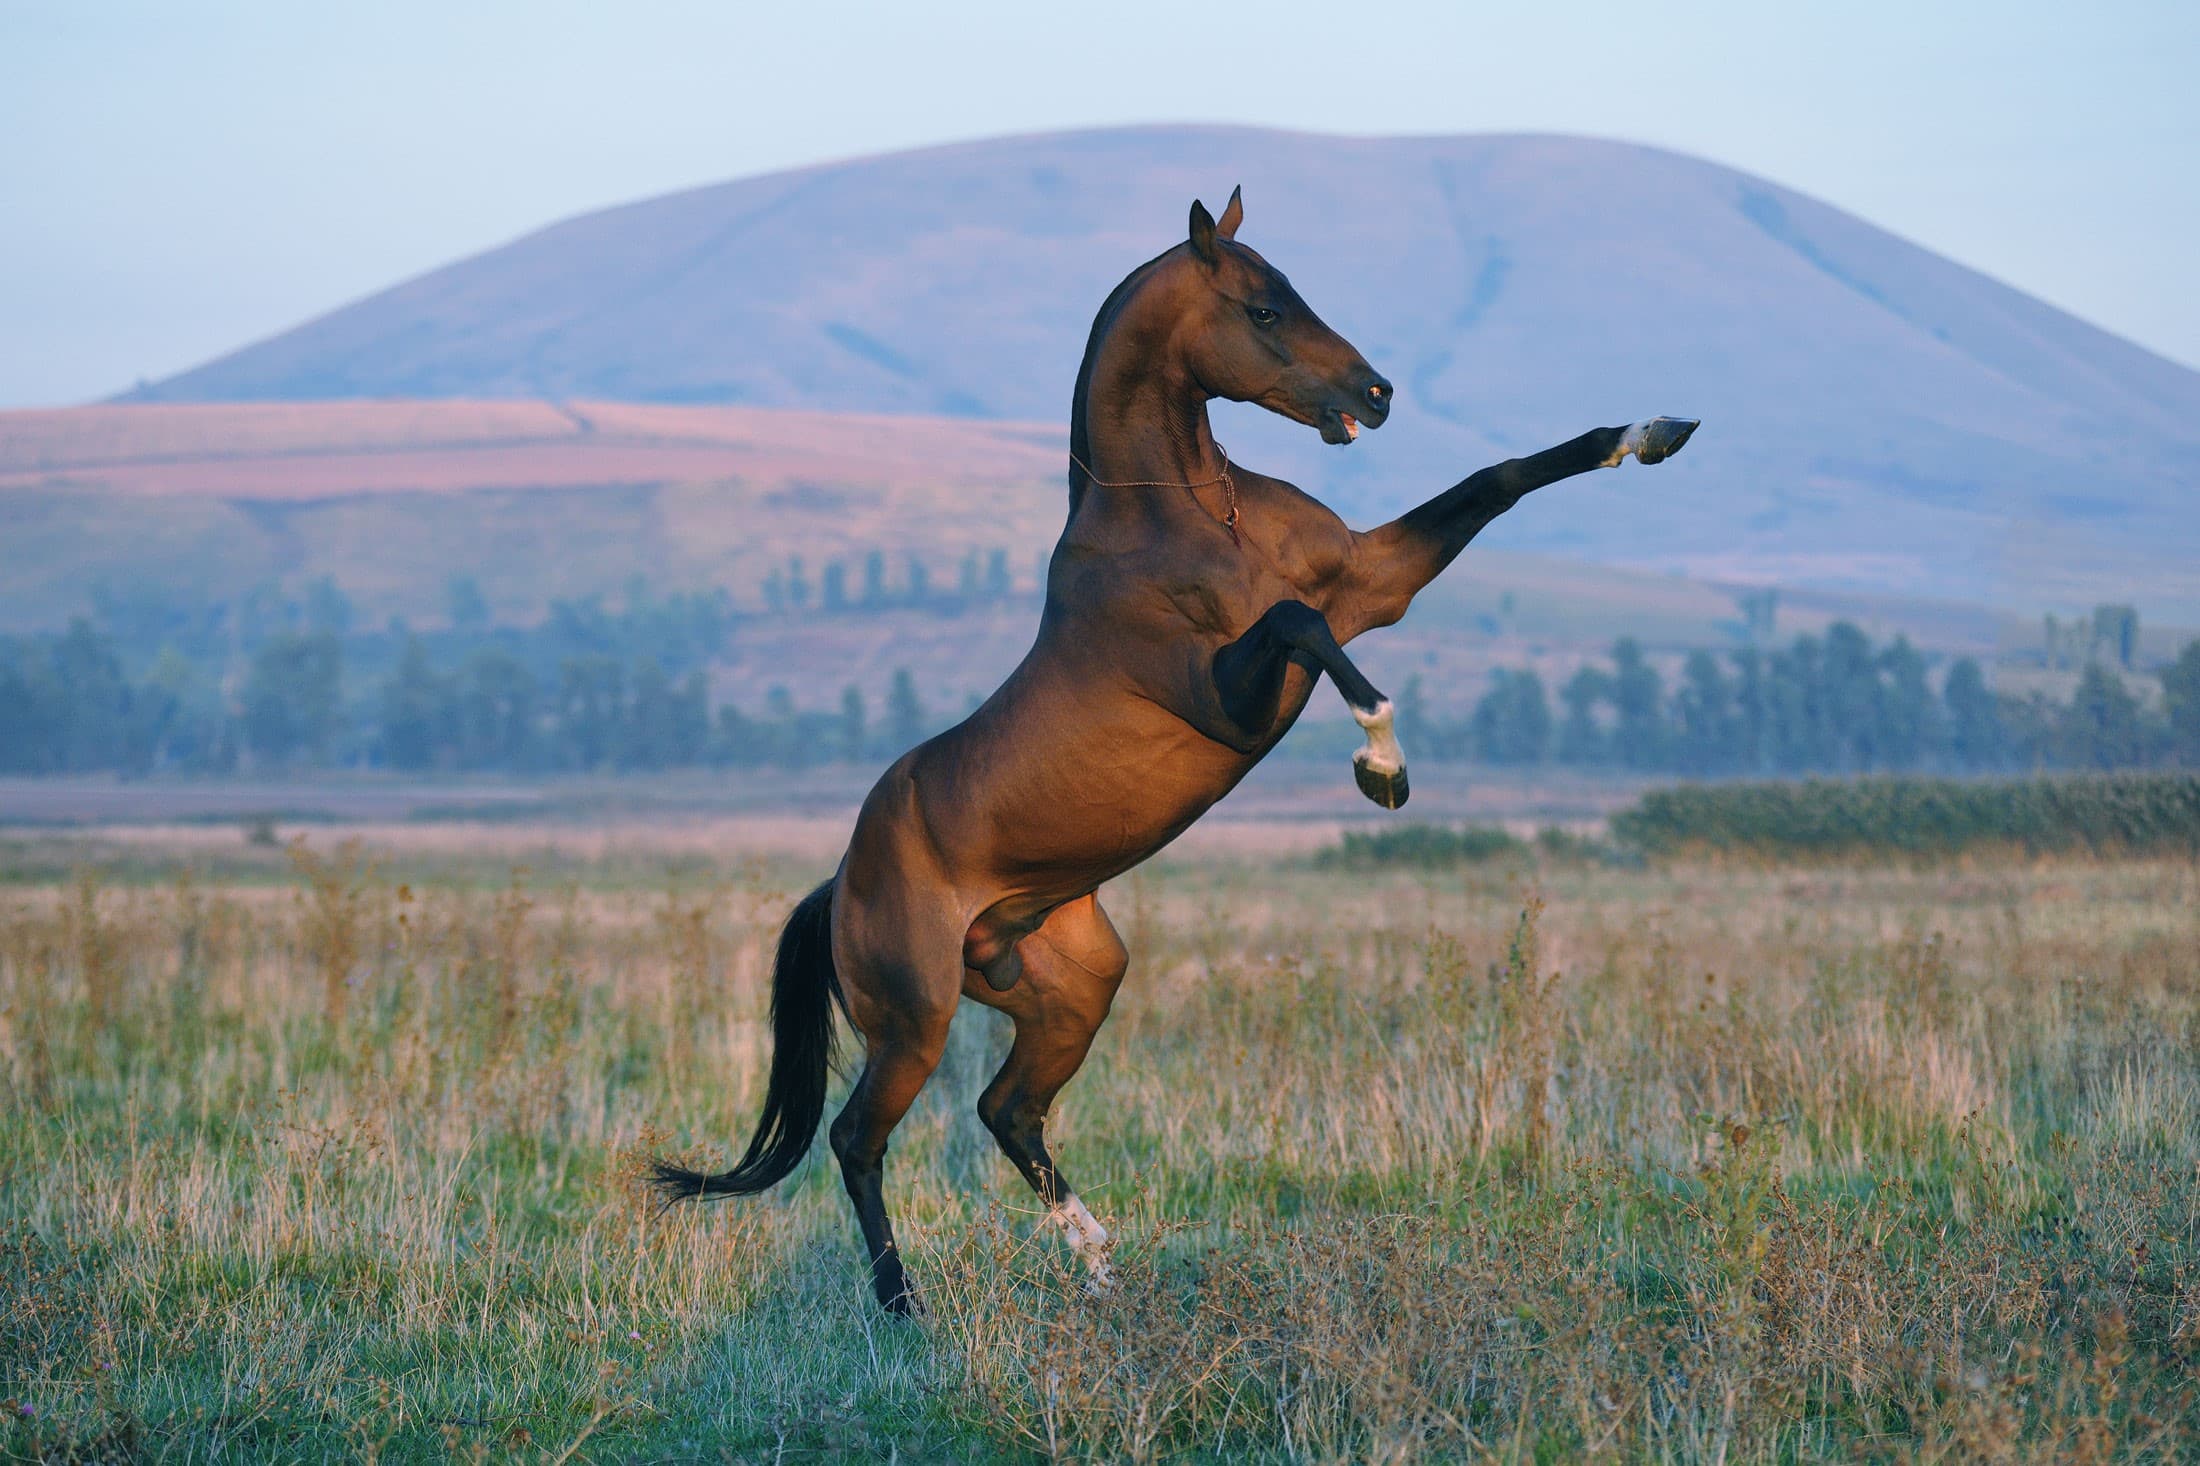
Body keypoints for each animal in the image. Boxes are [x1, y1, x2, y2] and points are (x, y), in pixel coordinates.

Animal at [654, 187, 1697, 1315]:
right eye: (1263, 308)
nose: (1376, 395)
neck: (1191, 512)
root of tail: (838, 881)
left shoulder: (1374, 583)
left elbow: (1496, 478)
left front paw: (1652, 432)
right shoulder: (1239, 698)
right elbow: (1297, 622)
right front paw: (1382, 765)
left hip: (1073, 987)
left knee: (1007, 1110)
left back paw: (1104, 1270)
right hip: (913, 1020)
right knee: (858, 1139)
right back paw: (906, 1312)